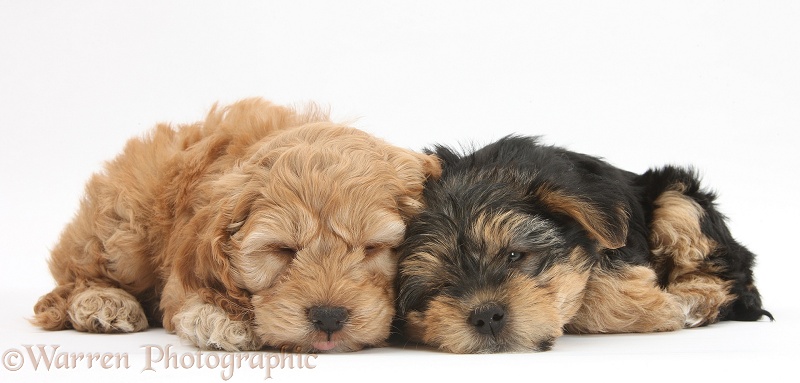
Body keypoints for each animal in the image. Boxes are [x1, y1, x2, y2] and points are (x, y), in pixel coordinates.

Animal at [32, 97, 438, 352]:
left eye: (372, 248)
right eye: (282, 250)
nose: (328, 317)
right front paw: (220, 318)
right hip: (122, 230)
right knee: (76, 273)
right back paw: (103, 303)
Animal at [396, 136, 772, 356]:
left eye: (515, 256)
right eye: (438, 286)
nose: (486, 315)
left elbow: (594, 287)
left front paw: (662, 306)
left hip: (678, 198)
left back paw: (693, 298)